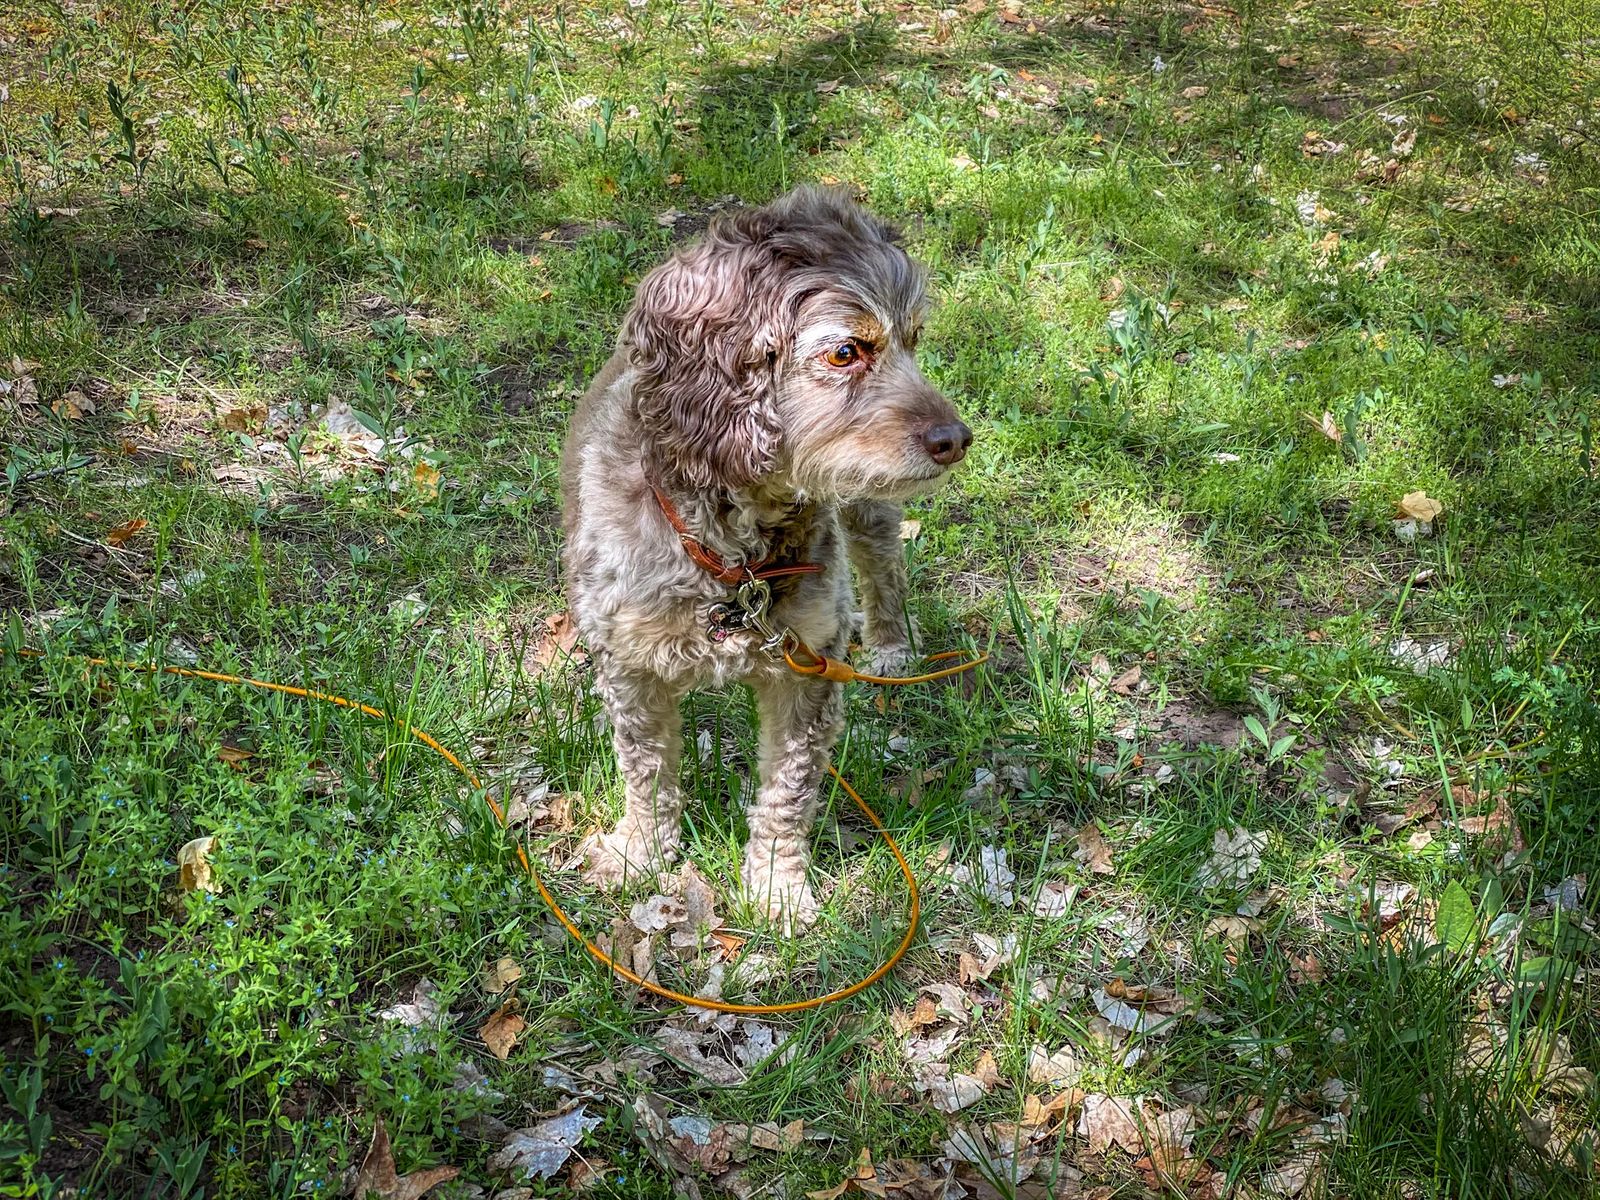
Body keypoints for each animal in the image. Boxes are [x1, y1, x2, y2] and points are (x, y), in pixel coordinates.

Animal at [556, 190, 966, 940]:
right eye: (846, 351)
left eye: (915, 338)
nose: (957, 437)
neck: (732, 553)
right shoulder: (628, 662)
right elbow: (647, 770)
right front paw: (641, 854)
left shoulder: (808, 668)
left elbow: (787, 792)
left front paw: (778, 887)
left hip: (864, 499)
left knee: (883, 560)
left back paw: (892, 645)